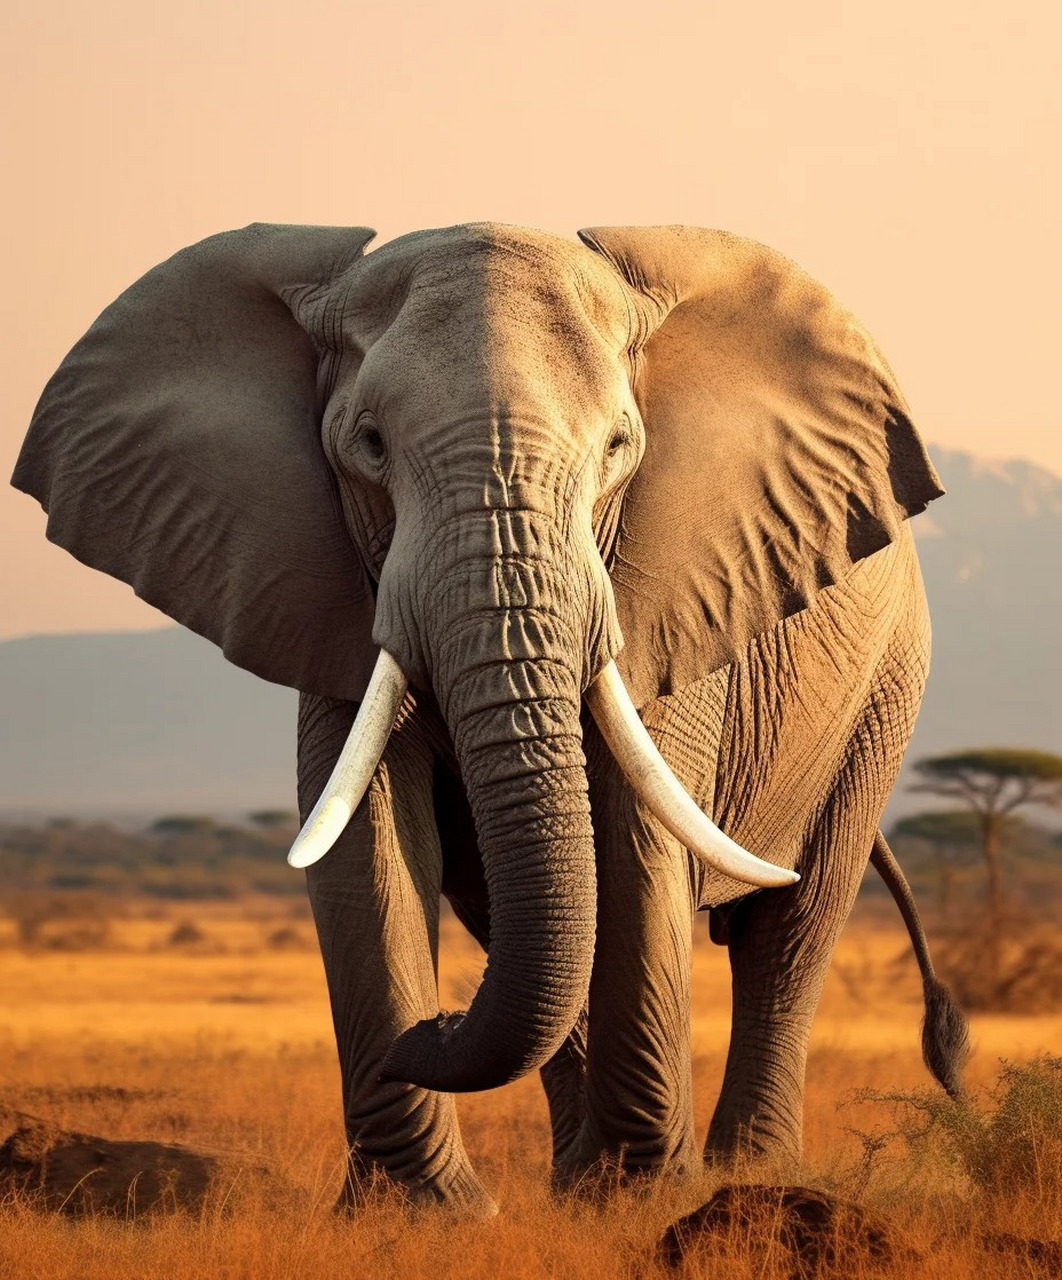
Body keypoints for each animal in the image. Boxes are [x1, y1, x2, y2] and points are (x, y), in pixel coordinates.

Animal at [13, 222, 968, 1215]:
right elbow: (369, 841)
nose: (433, 1026)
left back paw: (744, 1176)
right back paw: (575, 1184)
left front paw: (640, 1197)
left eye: (620, 447)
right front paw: (425, 1215)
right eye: (368, 445)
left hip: (885, 693)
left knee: (791, 929)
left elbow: (635, 841)